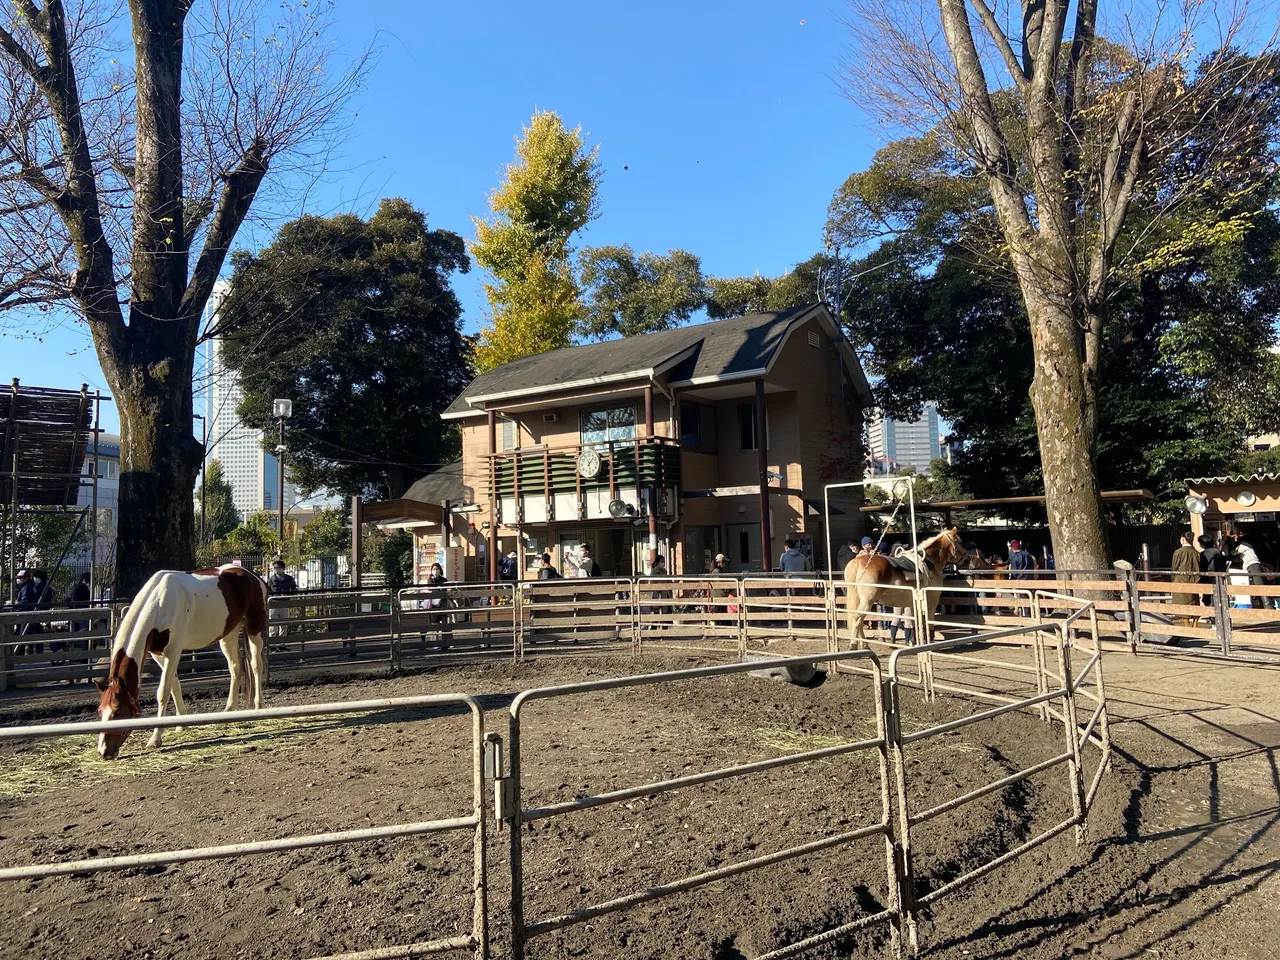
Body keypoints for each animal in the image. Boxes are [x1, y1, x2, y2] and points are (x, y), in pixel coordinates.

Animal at [95, 565, 269, 760]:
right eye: (100, 711)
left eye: (117, 711)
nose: (104, 752)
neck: (159, 603)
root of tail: (252, 575)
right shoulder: (158, 654)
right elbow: (174, 686)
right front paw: (180, 722)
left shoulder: (173, 652)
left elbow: (163, 692)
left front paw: (155, 738)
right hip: (228, 634)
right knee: (235, 667)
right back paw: (229, 709)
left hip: (254, 628)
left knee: (256, 666)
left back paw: (258, 706)